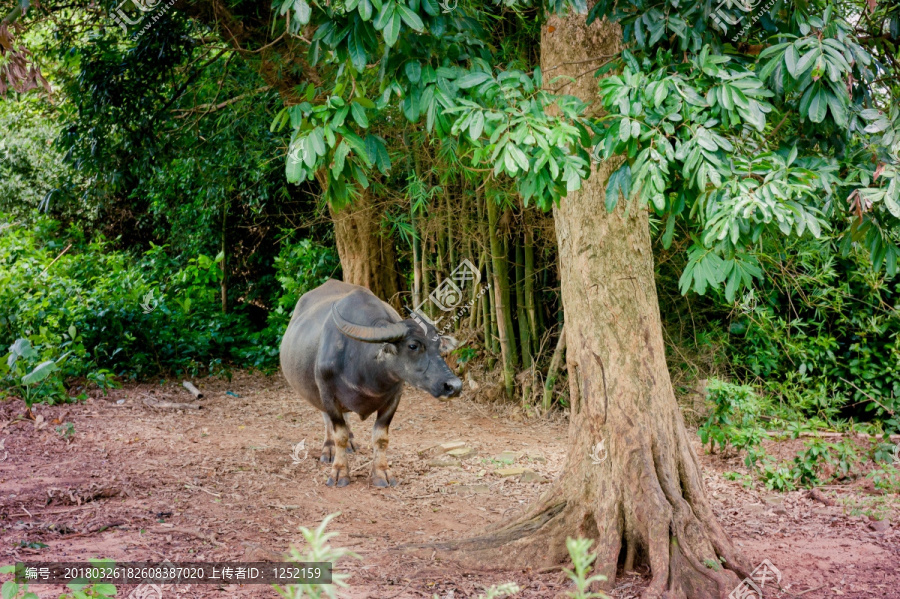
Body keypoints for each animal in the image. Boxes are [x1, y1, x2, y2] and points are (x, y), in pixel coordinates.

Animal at [280, 280, 464, 488]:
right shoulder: (327, 393)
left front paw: (382, 472)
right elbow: (339, 435)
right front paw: (339, 472)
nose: (454, 386)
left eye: (439, 346)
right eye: (413, 346)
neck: (362, 369)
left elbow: (381, 437)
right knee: (327, 419)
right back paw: (329, 449)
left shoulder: (394, 397)